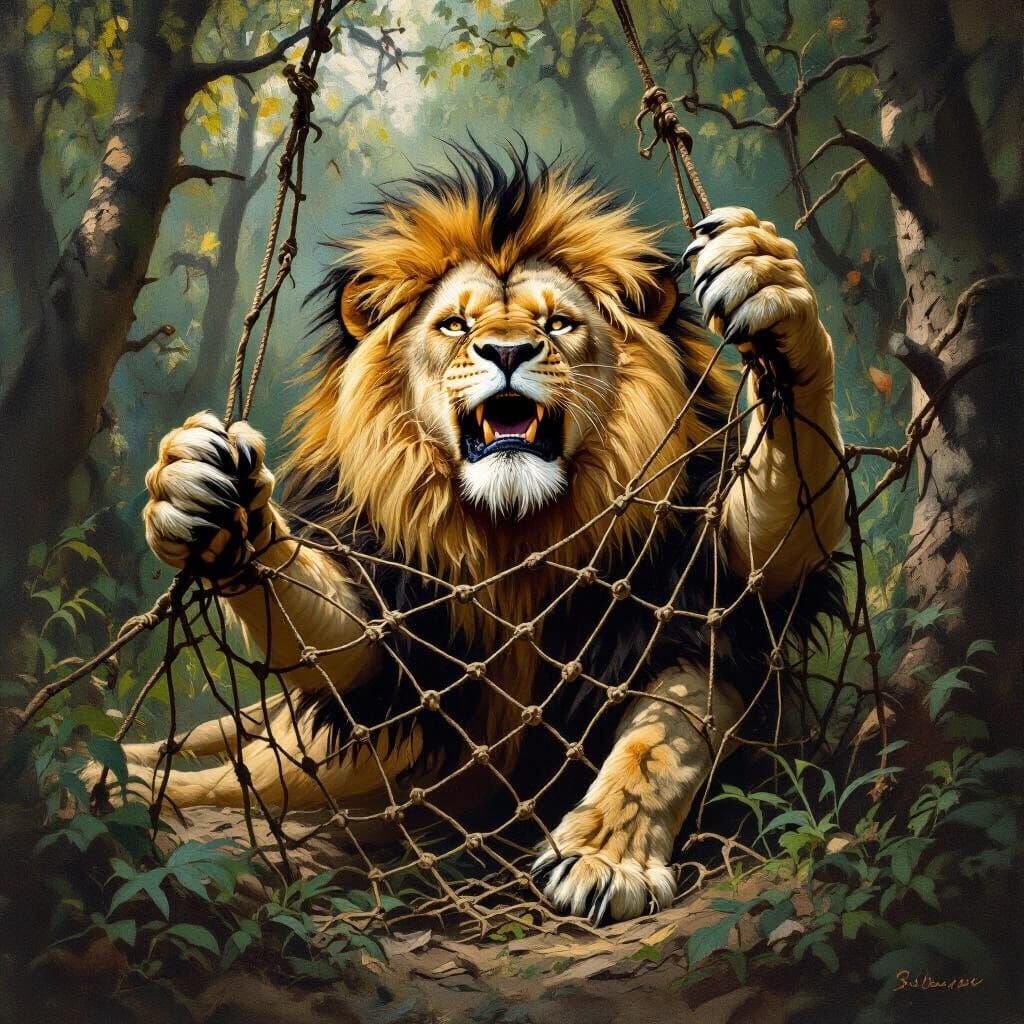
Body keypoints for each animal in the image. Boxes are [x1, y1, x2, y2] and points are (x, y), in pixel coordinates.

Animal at [99, 144, 847, 923]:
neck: (513, 529)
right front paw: (195, 491)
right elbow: (343, 638)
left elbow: (658, 746)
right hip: (300, 764)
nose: (508, 351)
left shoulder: (702, 599)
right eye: (455, 326)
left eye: (559, 324)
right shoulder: (397, 635)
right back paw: (105, 773)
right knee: (213, 771)